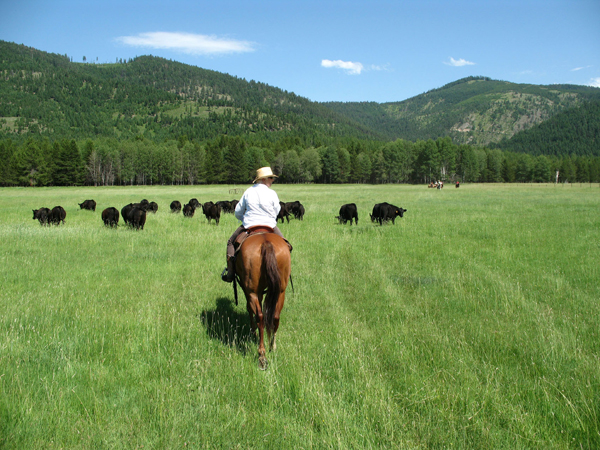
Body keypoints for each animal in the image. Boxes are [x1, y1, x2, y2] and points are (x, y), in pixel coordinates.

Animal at [234, 232, 290, 370]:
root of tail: (266, 242)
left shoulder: (248, 290)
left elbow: (249, 309)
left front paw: (253, 332)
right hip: (280, 291)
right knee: (275, 317)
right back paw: (272, 346)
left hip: (252, 291)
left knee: (260, 317)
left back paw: (262, 355)